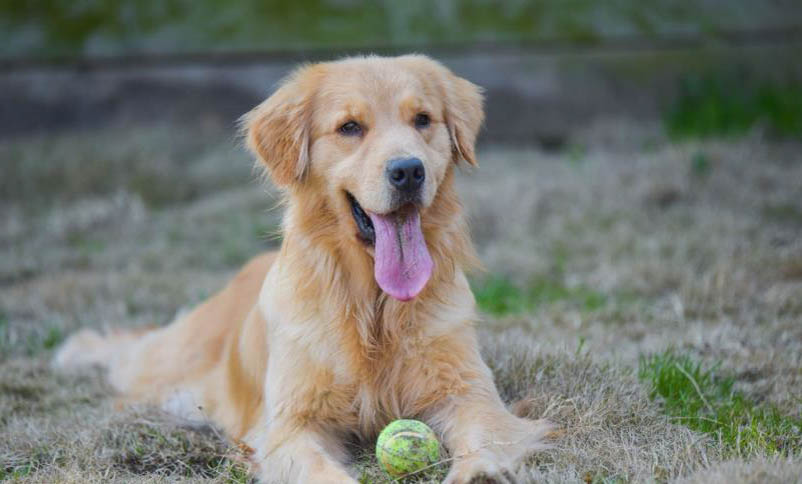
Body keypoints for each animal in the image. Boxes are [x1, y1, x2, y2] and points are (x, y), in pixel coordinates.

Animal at [53, 54, 548, 482]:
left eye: (422, 120)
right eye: (350, 127)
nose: (408, 170)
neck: (373, 305)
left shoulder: (468, 392)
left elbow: (486, 431)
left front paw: (481, 472)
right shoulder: (291, 423)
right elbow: (317, 468)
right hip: (168, 366)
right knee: (127, 354)